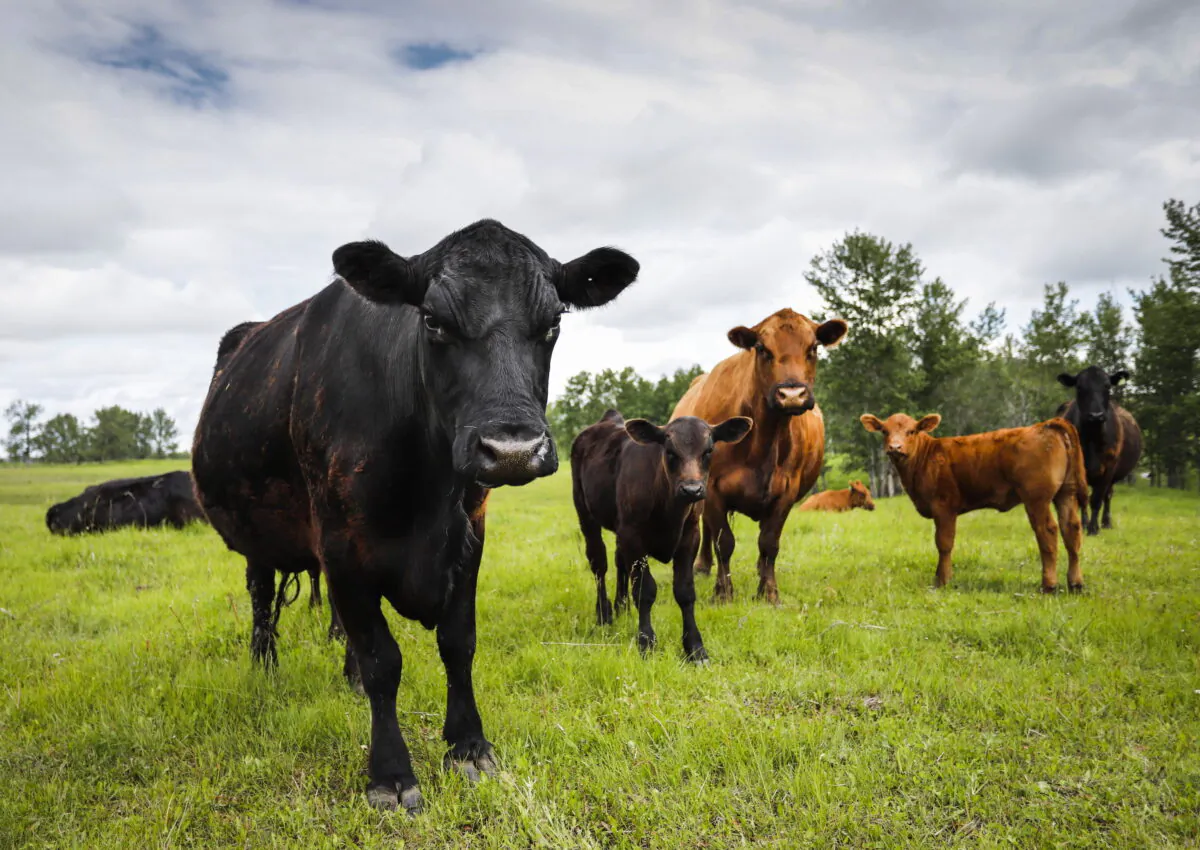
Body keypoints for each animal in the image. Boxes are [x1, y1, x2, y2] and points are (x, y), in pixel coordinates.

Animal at [191, 219, 638, 814]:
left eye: (553, 324)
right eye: (433, 320)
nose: (512, 449)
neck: (426, 497)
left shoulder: (469, 537)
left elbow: (458, 642)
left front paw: (468, 746)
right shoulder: (340, 544)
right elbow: (383, 659)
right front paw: (391, 773)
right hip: (257, 537)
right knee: (263, 597)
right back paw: (264, 666)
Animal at [570, 409, 752, 661]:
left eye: (708, 451)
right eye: (669, 451)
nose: (692, 489)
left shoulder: (690, 537)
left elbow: (685, 592)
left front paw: (695, 647)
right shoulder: (633, 537)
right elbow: (645, 591)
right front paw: (646, 641)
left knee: (619, 562)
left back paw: (621, 606)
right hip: (585, 514)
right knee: (599, 564)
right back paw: (604, 615)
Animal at [670, 308, 848, 603]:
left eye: (813, 348)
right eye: (763, 348)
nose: (791, 394)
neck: (764, 437)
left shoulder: (786, 491)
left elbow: (769, 542)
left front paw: (769, 593)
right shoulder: (712, 489)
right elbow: (723, 542)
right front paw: (723, 593)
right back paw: (702, 566)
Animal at [860, 413, 1087, 592]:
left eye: (911, 431)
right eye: (884, 431)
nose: (895, 447)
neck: (925, 458)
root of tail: (1046, 424)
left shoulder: (944, 506)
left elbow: (944, 543)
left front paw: (943, 581)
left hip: (1036, 498)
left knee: (1047, 532)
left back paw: (1049, 585)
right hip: (1066, 493)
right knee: (1071, 529)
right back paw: (1075, 583)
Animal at [1055, 367, 1143, 535]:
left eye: (1107, 386)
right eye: (1079, 387)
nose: (1096, 415)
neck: (1092, 436)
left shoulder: (1109, 467)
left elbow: (1097, 499)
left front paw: (1093, 528)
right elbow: (1081, 497)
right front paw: (1083, 525)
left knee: (1107, 495)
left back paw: (1106, 522)